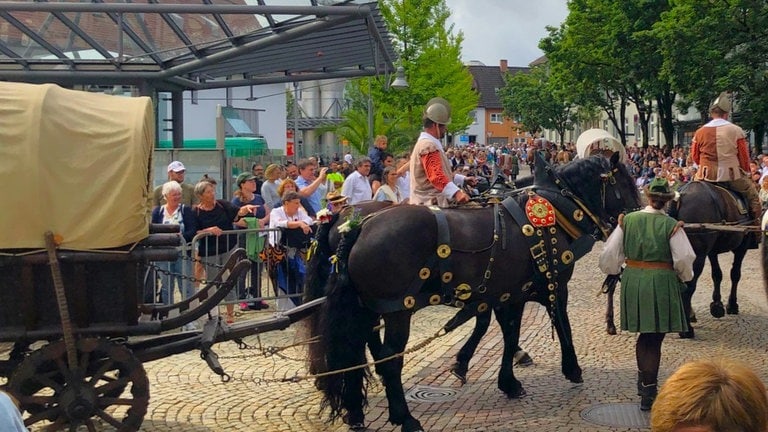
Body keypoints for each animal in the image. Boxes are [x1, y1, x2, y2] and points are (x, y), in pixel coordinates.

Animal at [304, 154, 636, 430]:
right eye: (626, 183)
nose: (637, 214)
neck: (553, 210)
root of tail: (355, 226)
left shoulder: (506, 294)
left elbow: (506, 332)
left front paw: (504, 380)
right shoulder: (550, 287)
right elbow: (558, 323)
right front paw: (572, 368)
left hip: (366, 307)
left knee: (357, 348)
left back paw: (355, 410)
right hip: (397, 310)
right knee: (389, 357)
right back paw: (403, 416)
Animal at [600, 181, 752, 340]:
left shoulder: (713, 250)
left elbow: (717, 274)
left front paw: (717, 305)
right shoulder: (741, 246)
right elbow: (735, 274)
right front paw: (731, 305)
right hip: (698, 256)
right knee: (689, 286)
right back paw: (687, 329)